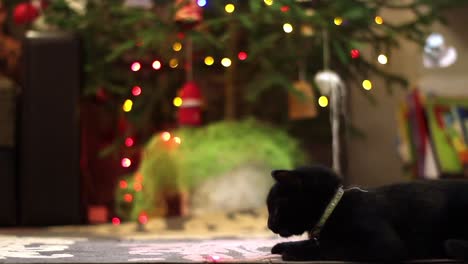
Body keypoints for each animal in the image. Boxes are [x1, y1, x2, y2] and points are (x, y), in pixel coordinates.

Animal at [266, 166, 468, 260]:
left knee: (450, 244)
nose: (268, 225)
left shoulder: (385, 245)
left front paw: (294, 251)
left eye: (275, 208)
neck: (335, 207)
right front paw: (284, 246)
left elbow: (330, 247)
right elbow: (316, 242)